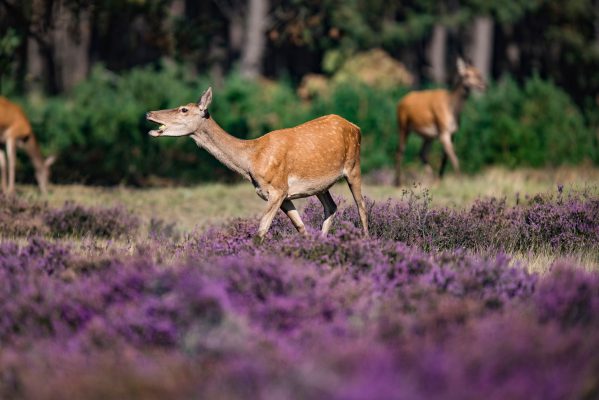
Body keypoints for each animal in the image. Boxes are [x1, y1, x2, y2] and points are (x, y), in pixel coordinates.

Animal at [146, 87, 370, 242]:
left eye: (184, 109)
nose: (149, 113)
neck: (250, 160)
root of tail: (357, 127)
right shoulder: (283, 195)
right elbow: (301, 227)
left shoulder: (278, 188)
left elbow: (260, 232)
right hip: (321, 186)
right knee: (331, 207)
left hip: (354, 166)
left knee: (361, 206)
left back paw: (366, 241)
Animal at [394, 57, 488, 186]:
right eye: (467, 75)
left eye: (479, 73)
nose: (483, 85)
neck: (452, 110)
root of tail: (400, 102)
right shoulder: (443, 131)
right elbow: (454, 157)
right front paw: (460, 181)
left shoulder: (452, 133)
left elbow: (445, 158)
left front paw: (440, 179)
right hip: (403, 126)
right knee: (400, 151)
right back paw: (398, 182)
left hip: (428, 136)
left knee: (422, 153)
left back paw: (432, 178)